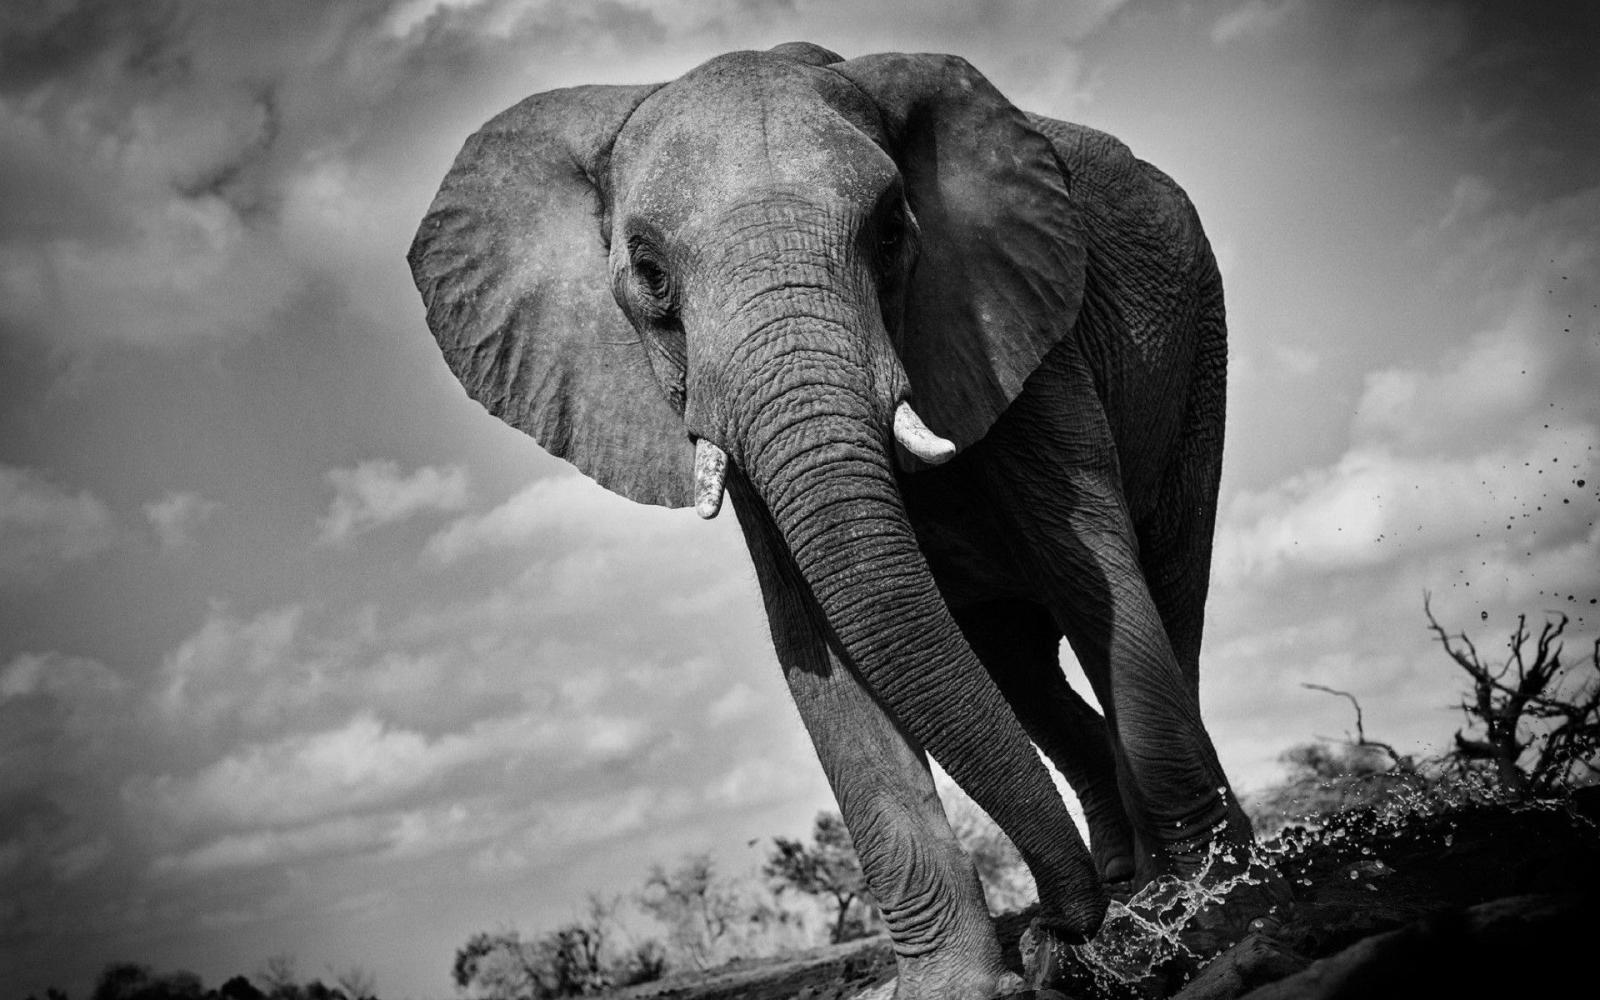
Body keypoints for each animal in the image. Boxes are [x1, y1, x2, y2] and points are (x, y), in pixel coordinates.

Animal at [410, 42, 1259, 999]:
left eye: (891, 231)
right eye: (652, 274)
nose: (1053, 930)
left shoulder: (1018, 324)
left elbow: (1090, 568)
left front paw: (1198, 920)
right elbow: (816, 645)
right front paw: (961, 989)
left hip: (1201, 353)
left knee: (1165, 587)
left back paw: (1186, 882)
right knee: (1015, 669)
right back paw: (1121, 883)